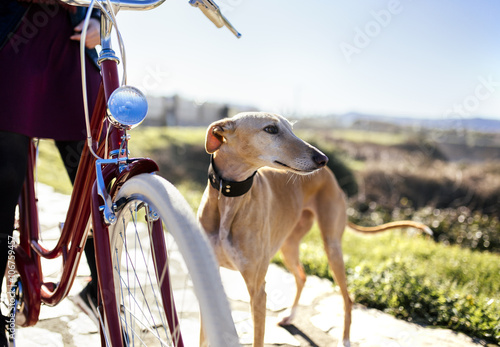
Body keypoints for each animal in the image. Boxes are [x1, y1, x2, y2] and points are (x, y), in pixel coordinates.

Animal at [197, 113, 432, 346]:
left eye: (291, 129)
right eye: (271, 129)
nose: (323, 159)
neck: (228, 196)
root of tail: (331, 176)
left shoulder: (258, 290)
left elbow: (258, 339)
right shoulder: (210, 276)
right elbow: (203, 336)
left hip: (331, 246)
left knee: (347, 298)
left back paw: (345, 339)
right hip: (288, 246)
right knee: (302, 277)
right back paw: (291, 316)